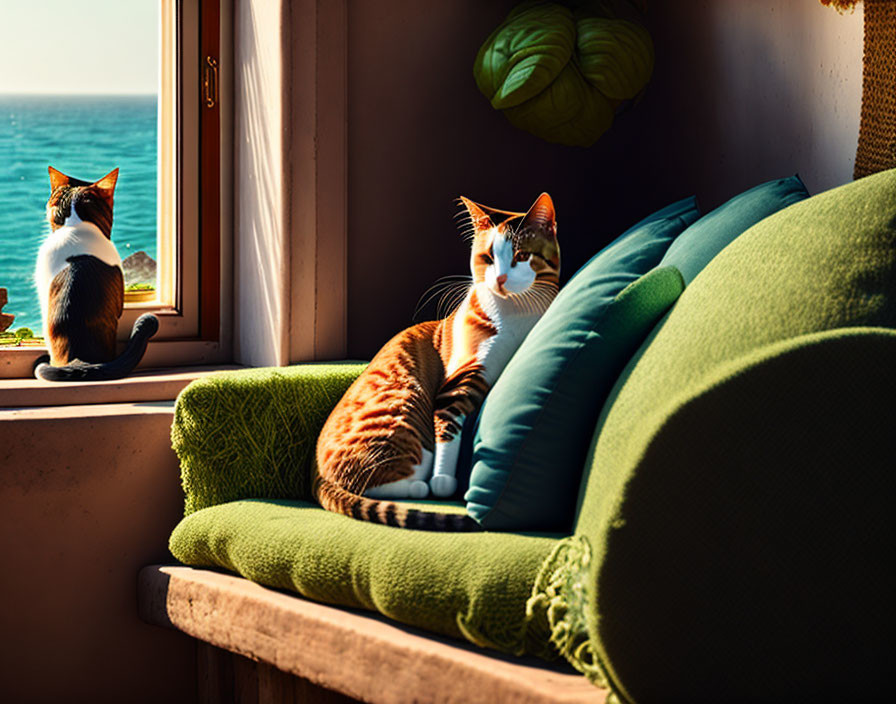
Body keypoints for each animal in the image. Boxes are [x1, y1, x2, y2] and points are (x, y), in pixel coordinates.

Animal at [316, 191, 560, 528]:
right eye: (487, 258)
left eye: (522, 256)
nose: (499, 279)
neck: (517, 313)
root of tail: (316, 474)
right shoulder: (460, 377)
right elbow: (448, 425)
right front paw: (443, 481)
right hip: (403, 406)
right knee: (364, 481)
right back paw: (418, 486)